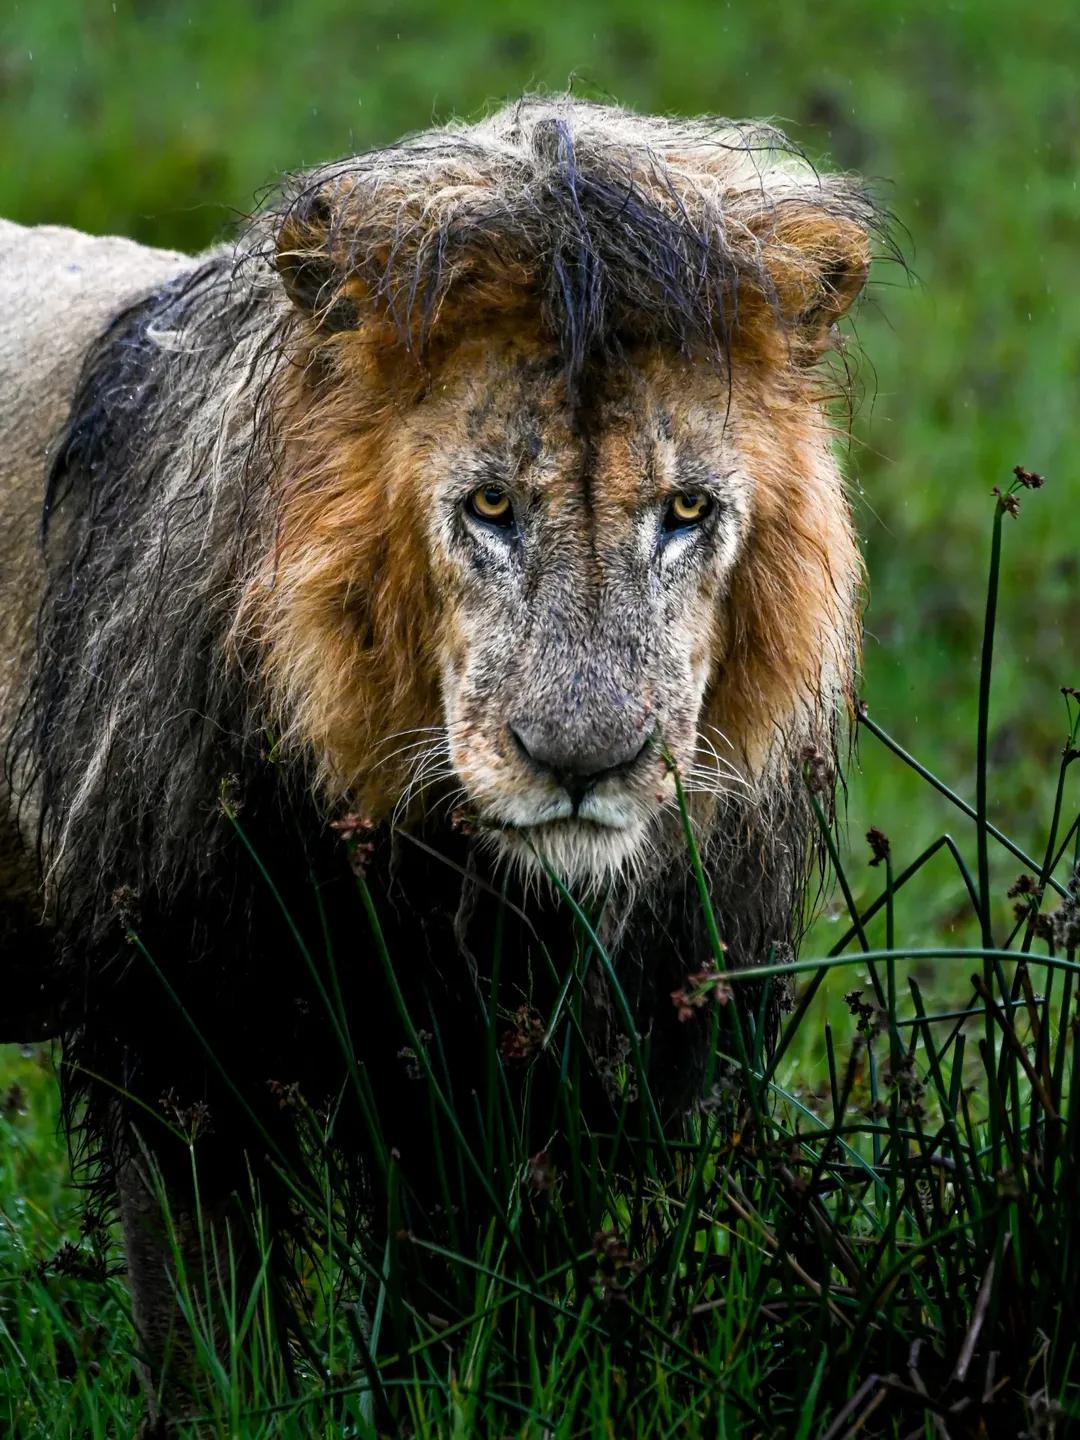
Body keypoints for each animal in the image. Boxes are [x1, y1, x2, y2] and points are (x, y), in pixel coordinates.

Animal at [0, 97, 880, 1416]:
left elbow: (477, 1323)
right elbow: (211, 1332)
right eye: (491, 509)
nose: (584, 762)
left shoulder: (538, 1088)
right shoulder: (180, 1033)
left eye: (684, 512)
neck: (460, 890)